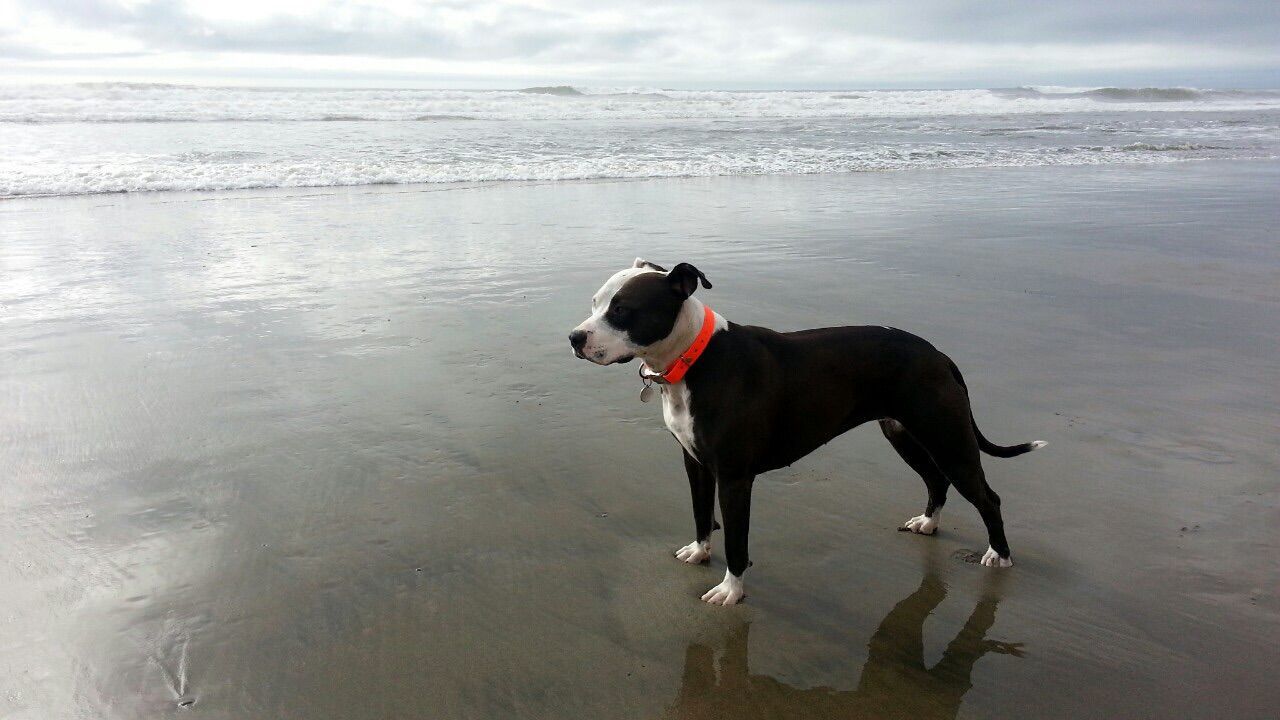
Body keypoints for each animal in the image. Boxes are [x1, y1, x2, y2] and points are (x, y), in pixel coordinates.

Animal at [570, 260, 1039, 602]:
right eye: (595, 304)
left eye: (621, 311)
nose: (575, 337)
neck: (694, 358)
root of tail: (938, 354)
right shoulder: (695, 464)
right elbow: (702, 515)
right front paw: (701, 552)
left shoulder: (735, 478)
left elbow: (737, 541)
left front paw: (730, 590)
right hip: (904, 434)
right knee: (936, 479)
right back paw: (928, 522)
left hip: (947, 437)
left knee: (986, 496)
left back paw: (999, 555)